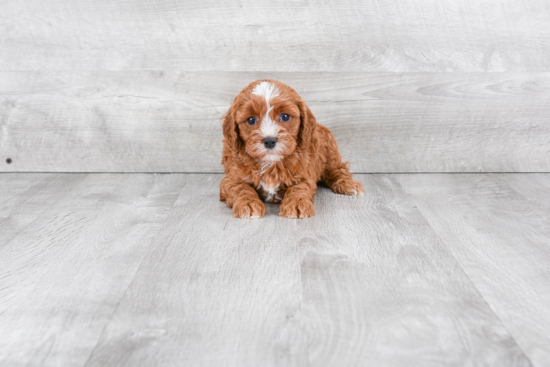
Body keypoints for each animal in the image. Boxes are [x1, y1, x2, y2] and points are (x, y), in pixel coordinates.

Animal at [220, 80, 366, 218]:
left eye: (285, 116)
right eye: (251, 120)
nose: (269, 141)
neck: (270, 163)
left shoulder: (305, 175)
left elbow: (299, 188)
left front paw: (297, 204)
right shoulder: (230, 178)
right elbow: (240, 187)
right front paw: (248, 204)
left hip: (329, 152)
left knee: (338, 169)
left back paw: (349, 184)